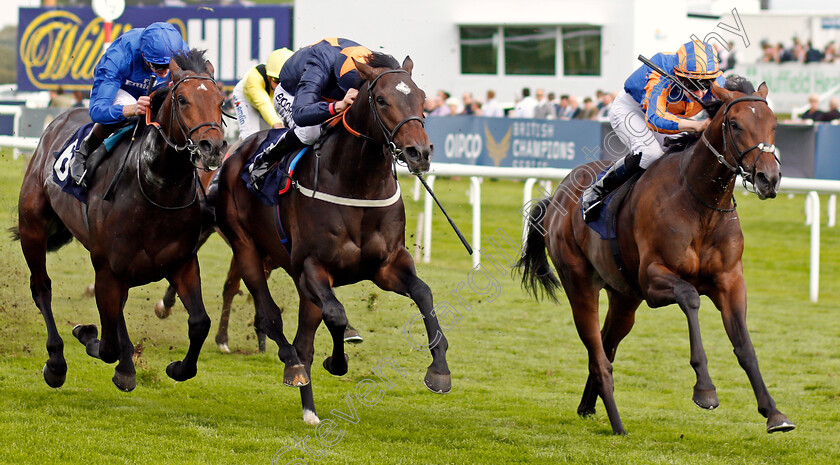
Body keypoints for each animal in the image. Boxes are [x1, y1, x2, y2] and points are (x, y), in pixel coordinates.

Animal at [13, 49, 230, 392]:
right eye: (182, 99)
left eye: (221, 101)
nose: (214, 147)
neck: (156, 190)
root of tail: (56, 121)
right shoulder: (107, 269)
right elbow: (107, 344)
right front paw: (86, 333)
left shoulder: (182, 262)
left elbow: (199, 323)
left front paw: (178, 368)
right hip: (32, 227)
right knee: (41, 288)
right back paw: (57, 362)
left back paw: (126, 367)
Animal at [218, 52, 452, 422]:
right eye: (381, 99)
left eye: (422, 97)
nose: (420, 152)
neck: (358, 183)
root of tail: (236, 150)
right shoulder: (313, 267)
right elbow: (337, 316)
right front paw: (337, 362)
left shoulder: (387, 265)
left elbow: (424, 295)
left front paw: (439, 371)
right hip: (247, 249)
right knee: (270, 317)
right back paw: (292, 368)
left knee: (303, 341)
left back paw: (308, 407)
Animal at [520, 78, 796, 434]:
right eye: (735, 124)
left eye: (773, 124)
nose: (768, 178)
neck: (700, 204)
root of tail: (556, 197)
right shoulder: (653, 279)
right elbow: (690, 297)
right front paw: (705, 390)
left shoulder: (731, 280)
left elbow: (745, 345)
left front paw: (774, 413)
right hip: (579, 284)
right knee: (598, 353)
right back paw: (617, 424)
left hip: (624, 298)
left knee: (606, 347)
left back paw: (587, 405)